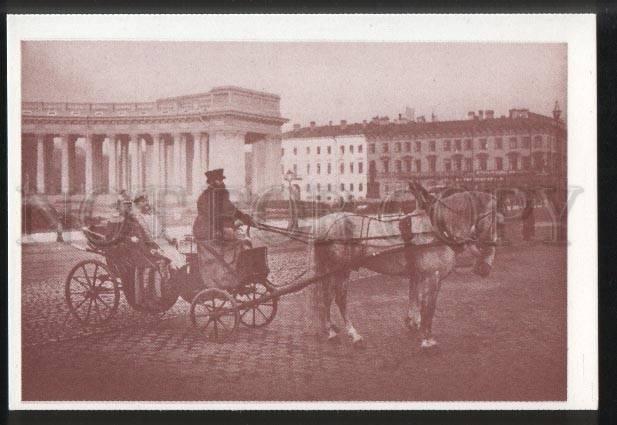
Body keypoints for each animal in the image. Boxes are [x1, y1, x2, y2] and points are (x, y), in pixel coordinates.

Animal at [310, 182, 498, 348]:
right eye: (495, 220)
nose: (484, 269)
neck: (437, 228)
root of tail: (322, 225)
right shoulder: (432, 276)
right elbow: (429, 307)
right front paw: (427, 340)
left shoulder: (420, 274)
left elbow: (416, 298)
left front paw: (414, 323)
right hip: (340, 270)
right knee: (338, 299)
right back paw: (353, 335)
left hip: (329, 270)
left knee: (325, 298)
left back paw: (331, 329)